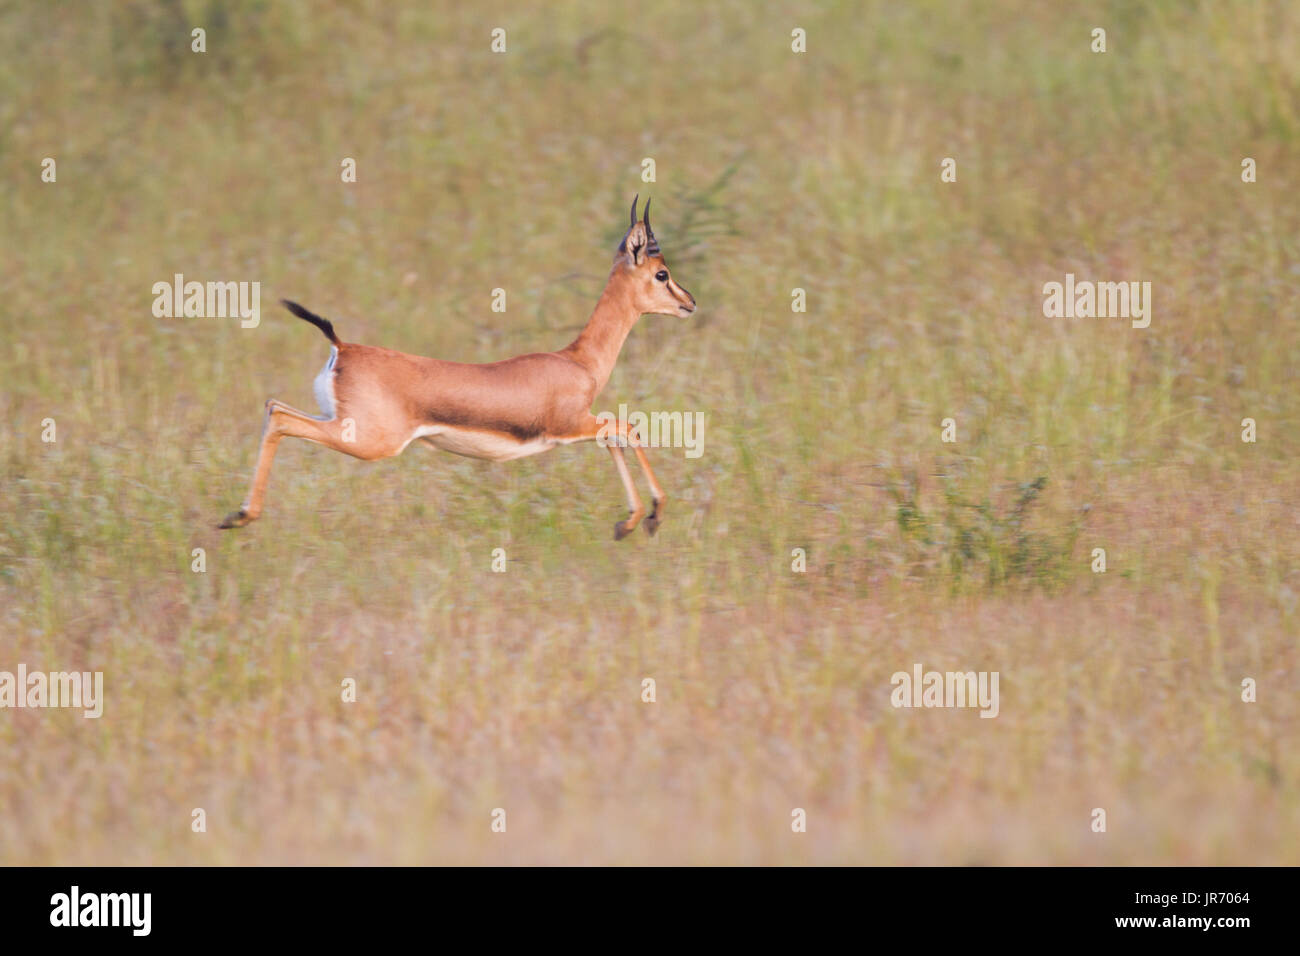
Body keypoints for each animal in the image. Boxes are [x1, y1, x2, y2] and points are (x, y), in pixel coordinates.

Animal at [219, 197, 696, 539]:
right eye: (661, 273)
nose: (689, 302)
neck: (577, 361)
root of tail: (342, 346)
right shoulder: (572, 424)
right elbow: (627, 428)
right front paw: (647, 518)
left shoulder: (583, 425)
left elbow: (617, 436)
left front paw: (627, 523)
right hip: (370, 440)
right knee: (281, 418)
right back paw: (240, 516)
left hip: (334, 418)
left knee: (273, 407)